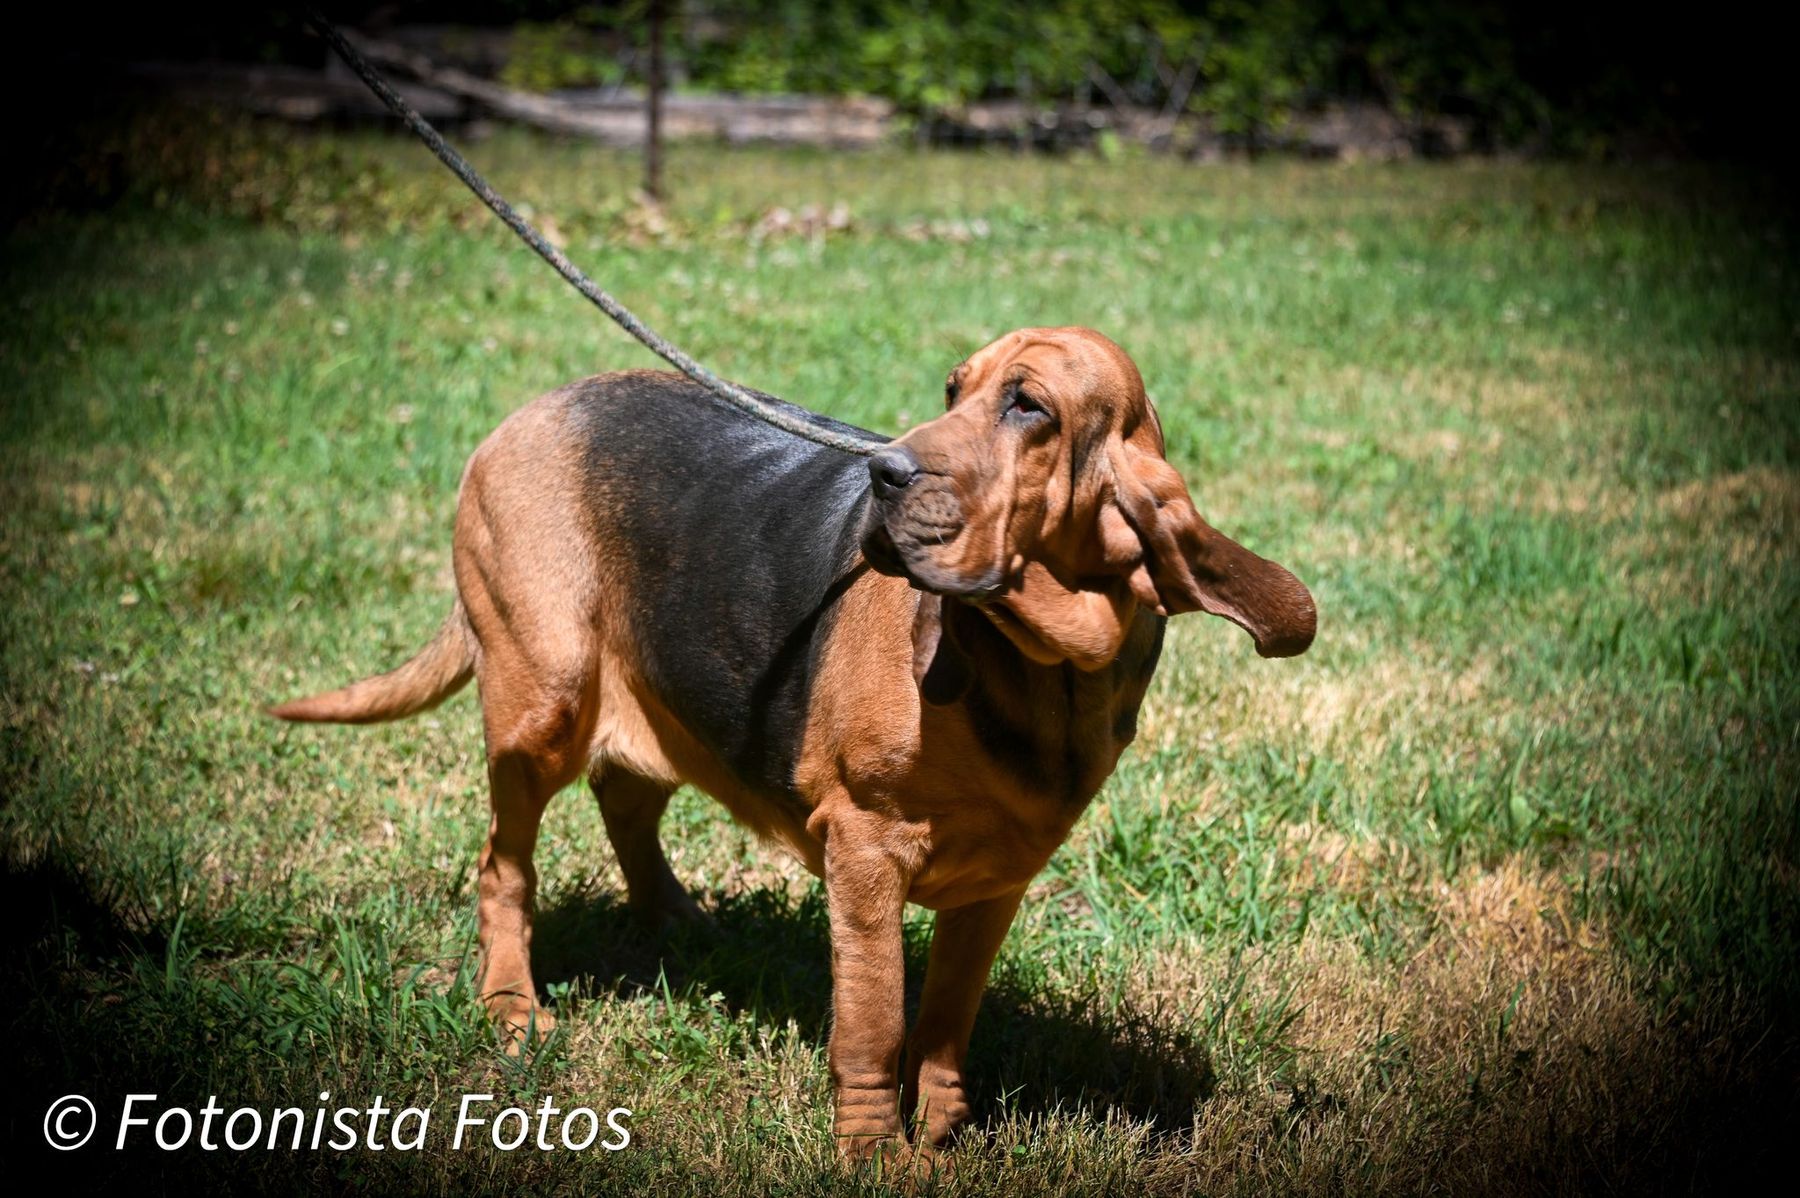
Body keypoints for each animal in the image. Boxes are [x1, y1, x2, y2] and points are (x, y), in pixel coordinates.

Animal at [270, 323, 1310, 1158]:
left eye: (1029, 407)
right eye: (953, 390)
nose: (884, 473)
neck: (1038, 663)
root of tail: (525, 414)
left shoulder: (997, 883)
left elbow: (945, 1026)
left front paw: (940, 1138)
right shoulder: (865, 854)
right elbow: (873, 1026)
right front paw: (874, 1156)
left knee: (627, 799)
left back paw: (679, 921)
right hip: (544, 703)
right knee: (503, 866)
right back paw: (513, 1010)